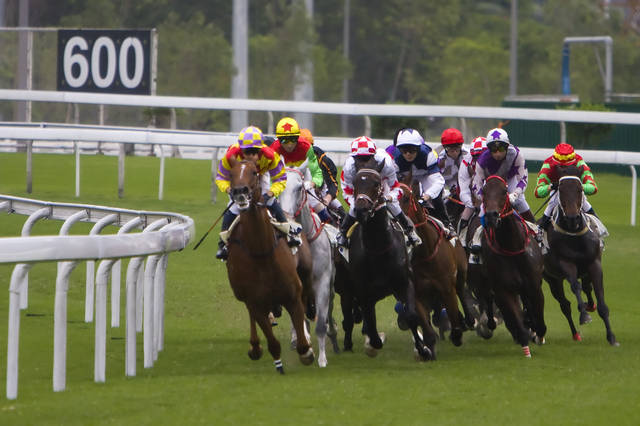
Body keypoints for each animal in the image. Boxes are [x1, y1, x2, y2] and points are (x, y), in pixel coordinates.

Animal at [225, 158, 316, 372]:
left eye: (254, 172)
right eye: (231, 173)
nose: (240, 191)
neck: (261, 253)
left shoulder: (293, 293)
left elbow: (301, 335)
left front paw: (307, 348)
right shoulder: (254, 301)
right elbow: (272, 342)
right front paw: (277, 362)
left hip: (305, 274)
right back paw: (255, 347)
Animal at [340, 161, 430, 362]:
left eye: (376, 183)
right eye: (355, 183)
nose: (361, 210)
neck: (378, 249)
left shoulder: (405, 282)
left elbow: (411, 316)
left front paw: (423, 349)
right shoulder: (364, 293)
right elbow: (373, 332)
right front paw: (374, 343)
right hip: (347, 289)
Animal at [482, 175, 548, 358]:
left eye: (504, 191)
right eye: (483, 191)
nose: (491, 216)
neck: (511, 247)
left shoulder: (534, 287)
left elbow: (540, 322)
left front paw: (538, 336)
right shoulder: (504, 290)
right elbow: (517, 322)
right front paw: (525, 348)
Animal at [544, 166, 616, 346]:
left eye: (580, 189)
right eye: (561, 190)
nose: (572, 218)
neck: (574, 234)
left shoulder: (594, 263)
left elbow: (600, 297)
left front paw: (611, 337)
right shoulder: (566, 263)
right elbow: (574, 286)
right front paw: (584, 315)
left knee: (587, 288)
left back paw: (590, 305)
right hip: (552, 279)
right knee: (565, 304)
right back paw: (576, 333)